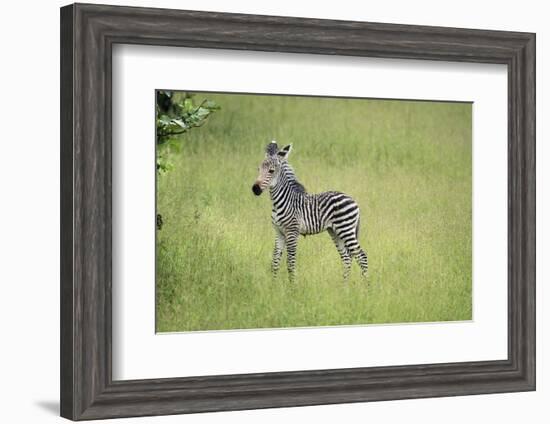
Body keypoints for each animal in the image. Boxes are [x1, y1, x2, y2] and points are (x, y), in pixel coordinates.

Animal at [254, 141, 370, 284]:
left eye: (271, 171)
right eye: (258, 169)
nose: (255, 189)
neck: (281, 201)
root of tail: (353, 200)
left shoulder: (292, 232)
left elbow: (290, 262)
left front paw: (293, 286)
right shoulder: (279, 233)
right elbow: (275, 261)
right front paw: (273, 285)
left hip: (346, 229)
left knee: (362, 256)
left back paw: (367, 287)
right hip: (335, 231)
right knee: (347, 257)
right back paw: (344, 287)